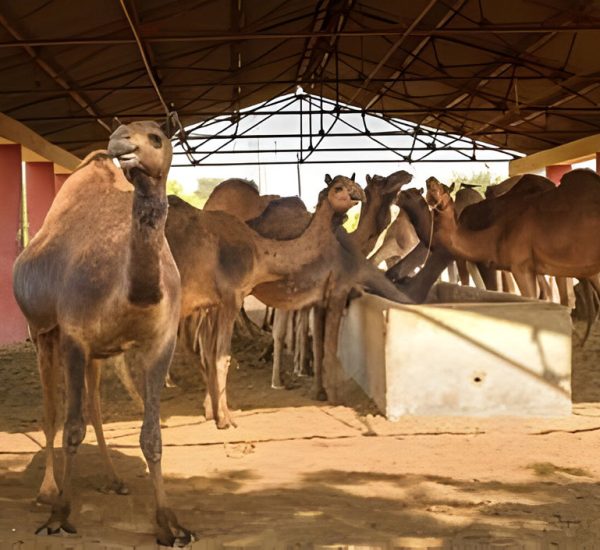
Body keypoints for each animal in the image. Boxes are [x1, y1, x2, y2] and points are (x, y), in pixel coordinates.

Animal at [12, 119, 192, 548]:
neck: (131, 292)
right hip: (43, 333)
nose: (120, 144)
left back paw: (113, 479)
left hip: (96, 353)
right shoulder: (75, 337)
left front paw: (169, 523)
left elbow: (151, 436)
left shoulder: (160, 344)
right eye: (122, 131)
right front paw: (60, 514)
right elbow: (71, 427)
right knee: (51, 410)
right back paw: (47, 490)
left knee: (93, 404)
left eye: (156, 137)